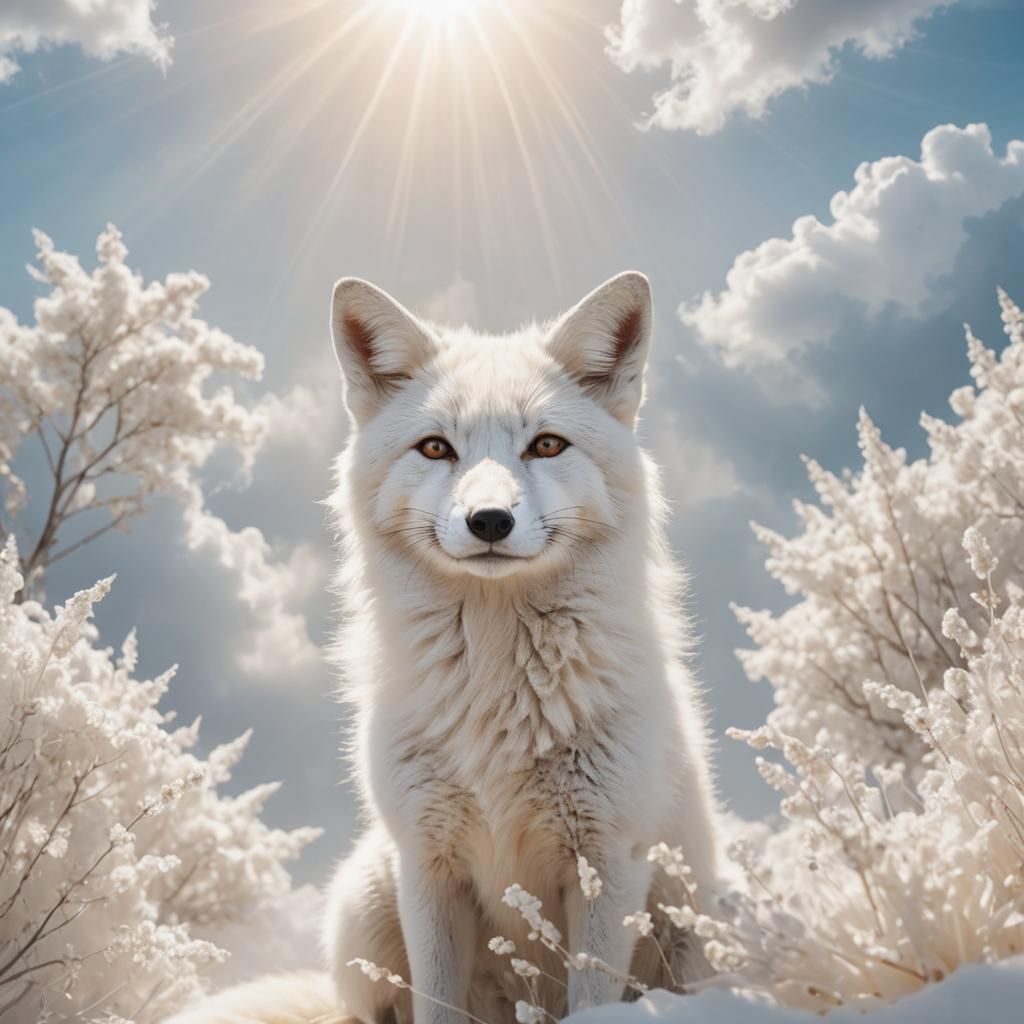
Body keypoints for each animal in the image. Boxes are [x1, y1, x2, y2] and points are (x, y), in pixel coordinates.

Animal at [170, 272, 719, 1024]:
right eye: (436, 449)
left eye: (546, 446)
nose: (489, 520)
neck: (497, 696)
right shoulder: (430, 865)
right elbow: (434, 1005)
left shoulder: (608, 863)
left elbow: (590, 999)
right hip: (369, 901)